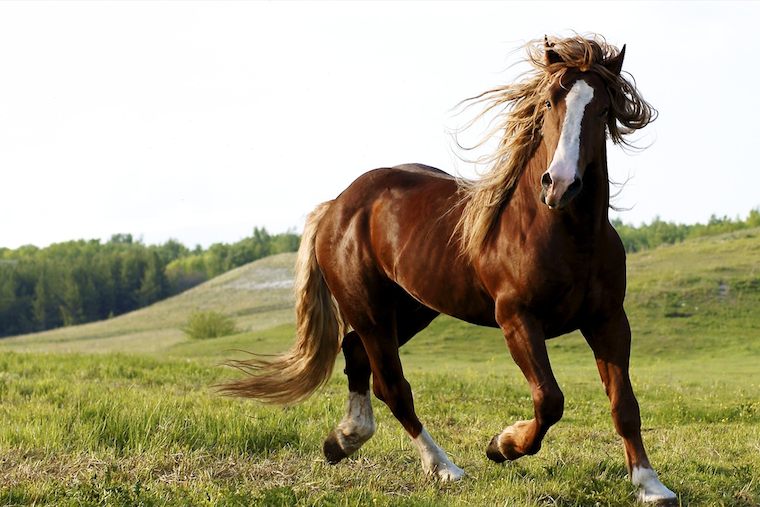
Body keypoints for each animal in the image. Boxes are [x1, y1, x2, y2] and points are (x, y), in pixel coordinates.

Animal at [221, 34, 677, 504]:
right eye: (550, 101)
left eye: (603, 109)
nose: (561, 185)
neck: (564, 233)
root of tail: (338, 205)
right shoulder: (517, 319)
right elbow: (549, 399)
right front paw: (502, 445)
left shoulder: (608, 320)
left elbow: (624, 405)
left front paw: (650, 484)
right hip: (370, 311)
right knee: (393, 387)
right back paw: (443, 467)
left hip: (411, 310)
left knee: (356, 355)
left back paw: (344, 439)